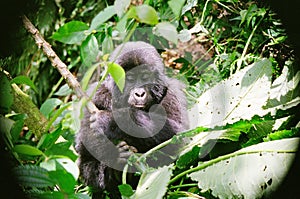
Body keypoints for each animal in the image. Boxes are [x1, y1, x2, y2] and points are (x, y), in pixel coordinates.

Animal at [75, 41, 188, 198]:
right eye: (130, 79)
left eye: (145, 77)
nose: (139, 93)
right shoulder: (95, 94)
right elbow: (84, 147)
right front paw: (115, 157)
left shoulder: (172, 91)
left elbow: (178, 136)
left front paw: (109, 120)